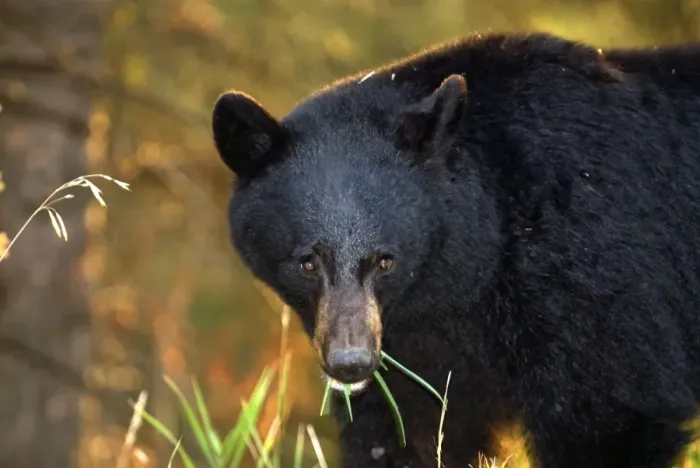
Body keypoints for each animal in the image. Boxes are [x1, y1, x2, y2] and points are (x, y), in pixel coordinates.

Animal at [211, 31, 700, 468]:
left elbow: (608, 410)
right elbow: (407, 429)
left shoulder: (589, 262)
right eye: (307, 262)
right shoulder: (414, 343)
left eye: (385, 261)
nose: (351, 363)